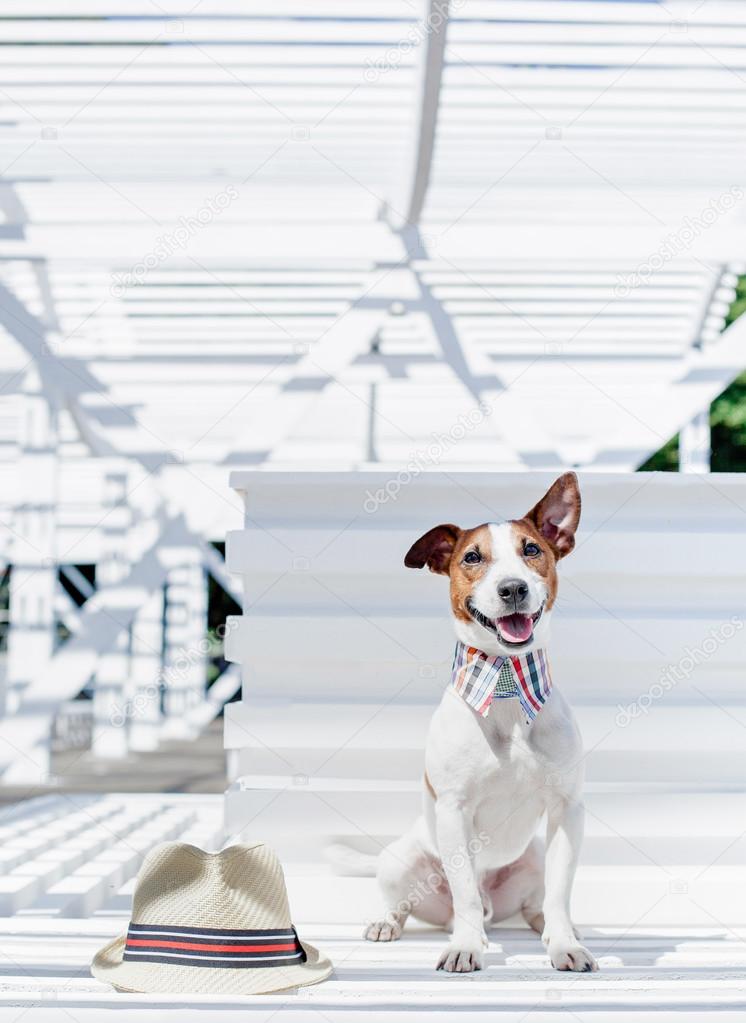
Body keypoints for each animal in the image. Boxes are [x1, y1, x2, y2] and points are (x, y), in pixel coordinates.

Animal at [364, 474, 597, 969]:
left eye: (532, 549)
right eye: (472, 557)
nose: (512, 589)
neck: (506, 682)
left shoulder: (567, 810)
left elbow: (560, 893)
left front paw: (564, 944)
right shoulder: (454, 812)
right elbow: (466, 894)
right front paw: (466, 947)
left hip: (533, 856)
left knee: (536, 903)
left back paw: (551, 928)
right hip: (398, 861)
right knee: (410, 903)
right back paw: (387, 924)